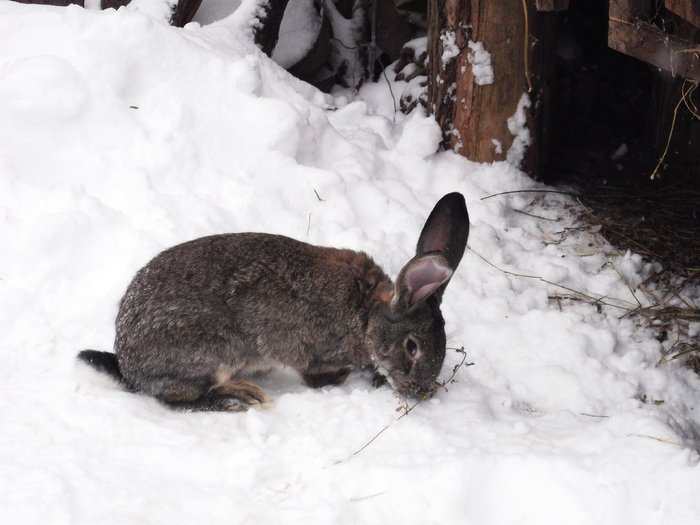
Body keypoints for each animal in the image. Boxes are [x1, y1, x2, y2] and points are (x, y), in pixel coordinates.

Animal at [78, 190, 470, 412]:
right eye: (412, 347)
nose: (419, 391)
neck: (367, 314)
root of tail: (128, 363)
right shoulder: (318, 355)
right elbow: (321, 376)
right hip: (212, 345)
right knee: (176, 397)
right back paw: (240, 397)